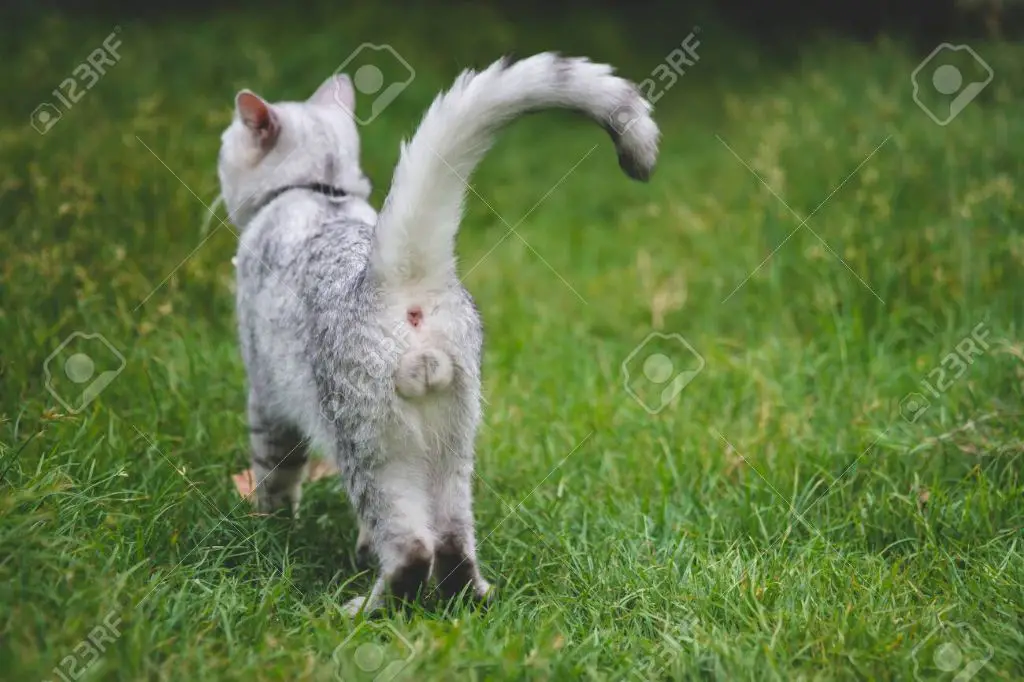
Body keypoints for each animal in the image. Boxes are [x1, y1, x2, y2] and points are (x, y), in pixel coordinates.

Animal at [219, 50, 659, 614]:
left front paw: (269, 528)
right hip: (453, 442)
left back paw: (367, 610)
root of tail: (399, 275)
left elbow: (275, 475)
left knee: (412, 548)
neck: (322, 194)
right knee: (452, 541)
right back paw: (466, 600)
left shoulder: (266, 399)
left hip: (372, 448)